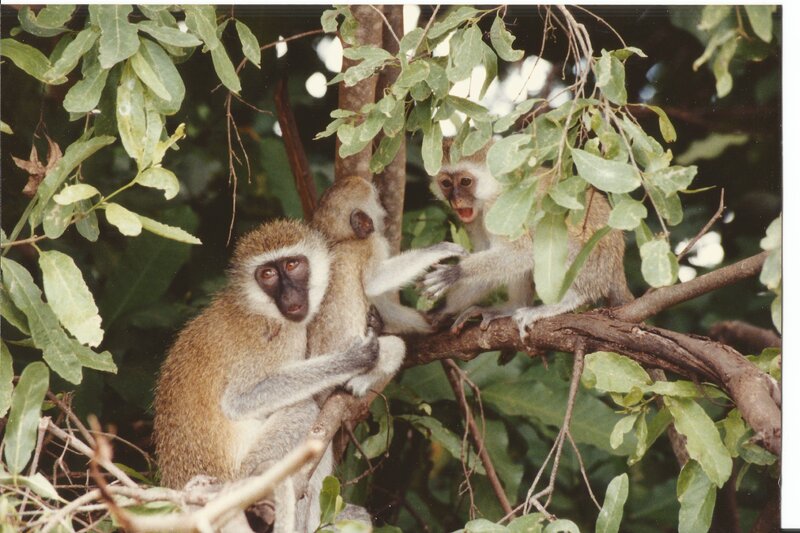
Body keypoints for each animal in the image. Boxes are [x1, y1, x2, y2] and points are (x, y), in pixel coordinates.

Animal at [153, 219, 390, 533]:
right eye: (267, 274)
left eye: (292, 265)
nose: (289, 295)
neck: (260, 306)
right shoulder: (272, 339)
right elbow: (240, 401)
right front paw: (353, 359)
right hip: (244, 474)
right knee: (304, 412)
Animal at [422, 139, 633, 338]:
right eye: (446, 183)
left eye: (465, 181)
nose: (456, 200)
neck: (493, 190)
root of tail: (616, 267)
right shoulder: (474, 220)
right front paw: (444, 310)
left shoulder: (498, 208)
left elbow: (522, 252)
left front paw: (455, 272)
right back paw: (513, 306)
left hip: (592, 264)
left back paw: (570, 299)